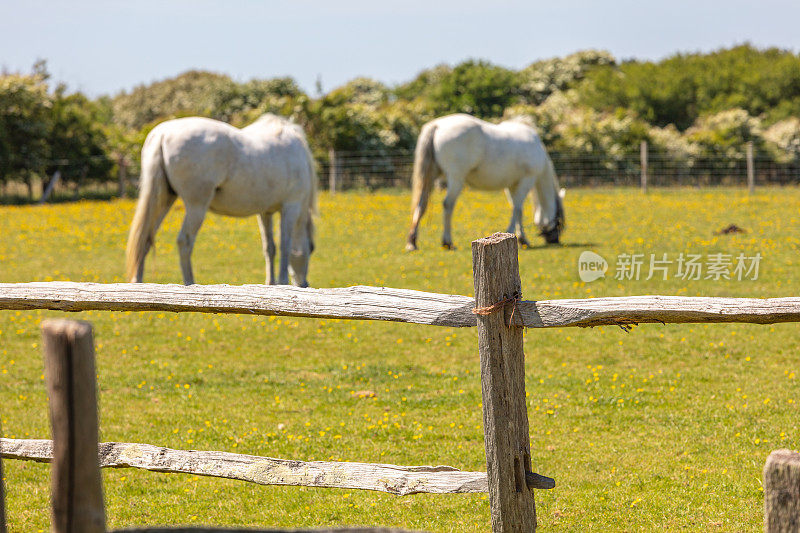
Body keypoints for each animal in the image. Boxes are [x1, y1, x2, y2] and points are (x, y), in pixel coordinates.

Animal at [125, 114, 316, 284]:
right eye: (312, 249)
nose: (305, 284)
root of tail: (162, 134)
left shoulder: (265, 212)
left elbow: (270, 248)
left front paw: (271, 283)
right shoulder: (291, 207)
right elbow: (285, 245)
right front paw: (282, 282)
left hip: (164, 200)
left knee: (145, 238)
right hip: (196, 206)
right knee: (184, 241)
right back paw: (190, 284)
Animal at [404, 113, 564, 250]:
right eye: (559, 222)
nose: (554, 240)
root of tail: (437, 125)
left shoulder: (512, 185)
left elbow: (517, 209)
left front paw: (521, 238)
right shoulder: (527, 180)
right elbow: (517, 208)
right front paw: (519, 237)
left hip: (430, 176)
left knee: (421, 203)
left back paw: (412, 242)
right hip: (456, 178)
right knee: (448, 204)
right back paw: (447, 242)